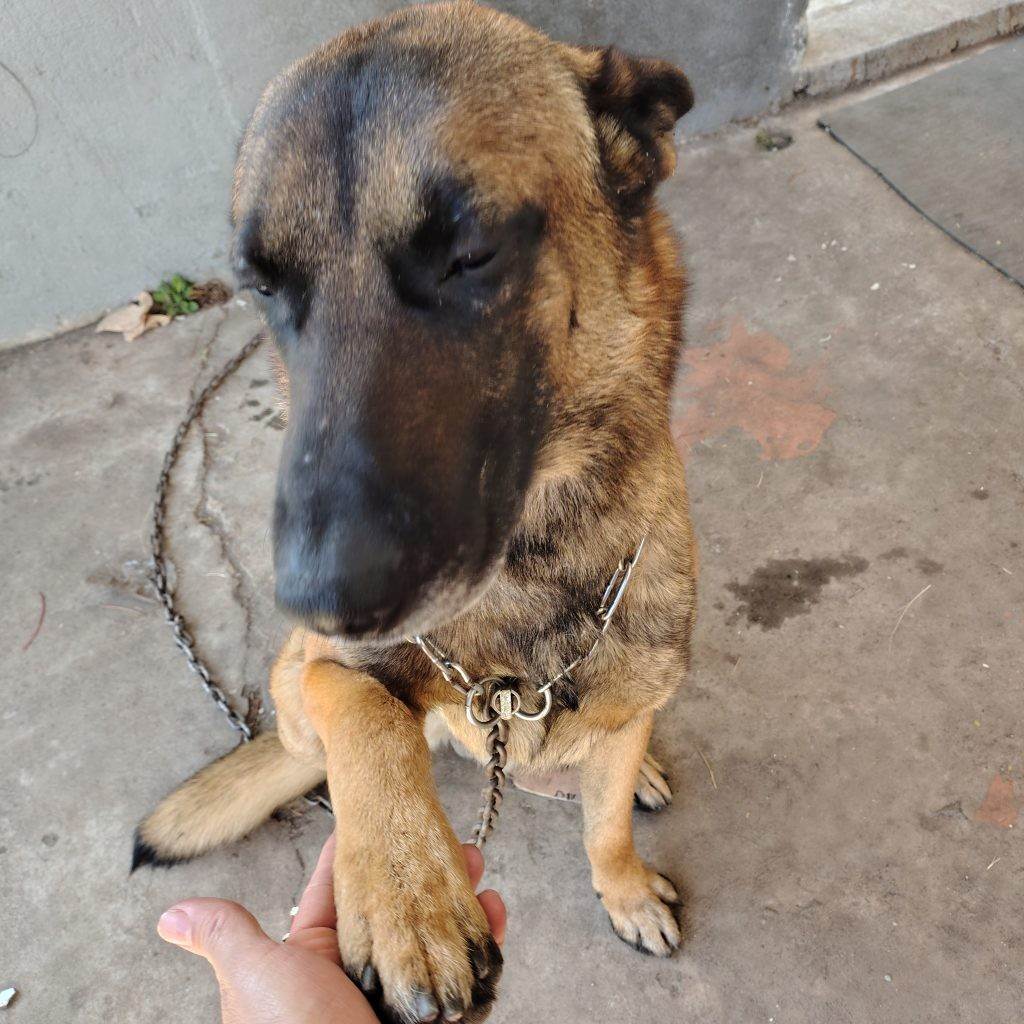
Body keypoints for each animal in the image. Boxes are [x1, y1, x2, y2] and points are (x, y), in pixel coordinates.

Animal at [135, 4, 697, 1021]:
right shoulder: (323, 671)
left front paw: (625, 887)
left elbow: (605, 829)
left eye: (469, 253)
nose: (319, 598)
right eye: (264, 287)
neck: (529, 583)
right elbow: (367, 715)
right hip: (288, 684)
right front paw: (407, 897)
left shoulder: (628, 696)